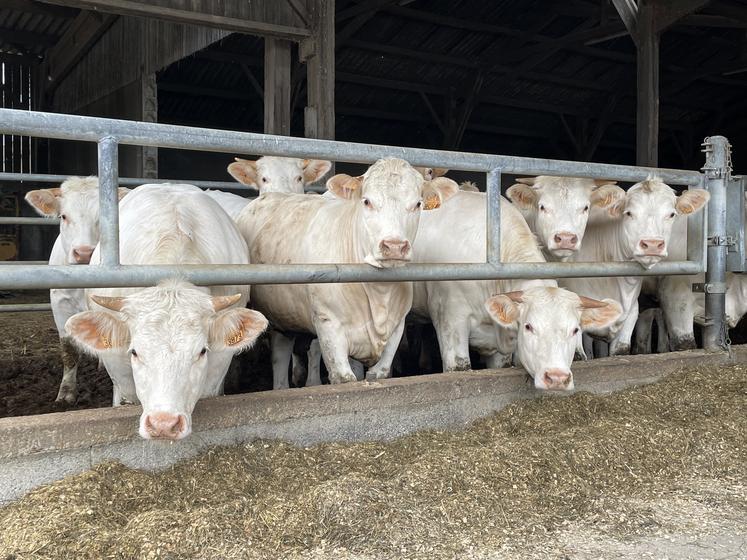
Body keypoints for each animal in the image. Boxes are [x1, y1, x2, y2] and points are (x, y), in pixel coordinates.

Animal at [237, 158, 458, 384]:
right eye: (366, 201)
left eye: (418, 204)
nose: (394, 246)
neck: (380, 293)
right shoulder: (328, 324)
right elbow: (344, 378)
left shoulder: (396, 329)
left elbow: (379, 373)